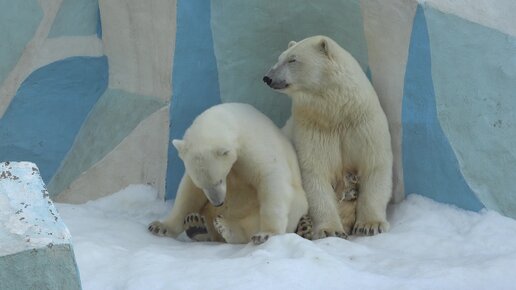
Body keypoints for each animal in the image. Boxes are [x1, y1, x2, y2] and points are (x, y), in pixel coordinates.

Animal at [147, 103, 308, 244]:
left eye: (219, 180)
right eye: (202, 185)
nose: (218, 202)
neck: (234, 120)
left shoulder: (255, 147)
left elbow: (271, 178)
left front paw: (266, 233)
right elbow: (188, 193)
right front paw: (160, 226)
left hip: (296, 203)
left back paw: (226, 227)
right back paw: (196, 225)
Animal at [264, 35, 394, 238]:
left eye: (292, 59)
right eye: (279, 58)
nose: (268, 77)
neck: (337, 111)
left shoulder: (363, 124)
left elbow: (374, 164)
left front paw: (371, 225)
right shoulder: (313, 127)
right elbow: (314, 171)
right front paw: (330, 230)